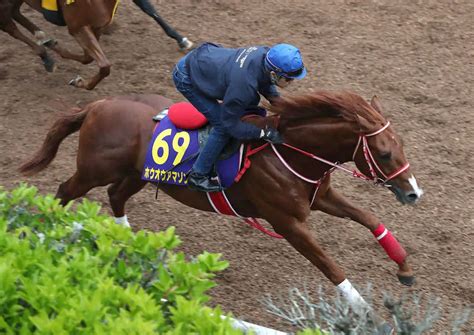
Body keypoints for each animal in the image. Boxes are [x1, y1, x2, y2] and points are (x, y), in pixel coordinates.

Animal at [0, 0, 194, 90]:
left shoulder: (97, 25)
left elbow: (88, 58)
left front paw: (181, 39)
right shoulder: (78, 27)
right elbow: (104, 65)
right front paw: (80, 82)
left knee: (15, 14)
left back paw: (42, 39)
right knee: (9, 25)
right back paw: (44, 55)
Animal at [20, 90, 424, 316]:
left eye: (402, 144)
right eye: (384, 153)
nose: (413, 192)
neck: (286, 150)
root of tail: (97, 104)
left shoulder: (320, 196)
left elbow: (369, 218)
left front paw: (404, 268)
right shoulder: (288, 223)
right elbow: (329, 264)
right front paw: (361, 307)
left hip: (140, 173)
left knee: (115, 196)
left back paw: (129, 242)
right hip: (94, 170)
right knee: (64, 190)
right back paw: (43, 233)